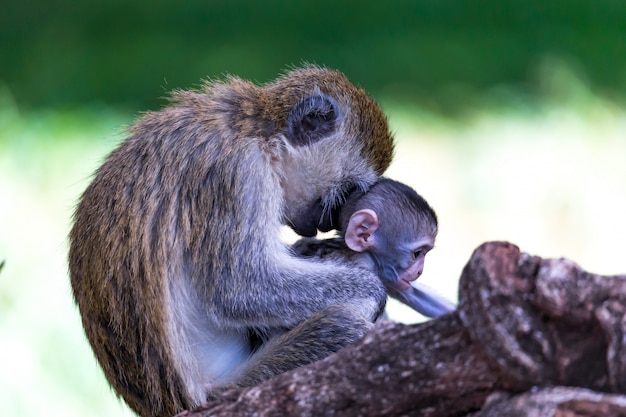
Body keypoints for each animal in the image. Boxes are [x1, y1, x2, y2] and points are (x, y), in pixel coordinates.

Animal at [68, 66, 390, 416]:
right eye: (347, 194)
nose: (324, 226)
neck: (258, 132)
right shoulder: (240, 173)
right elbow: (241, 289)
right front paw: (374, 293)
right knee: (340, 326)